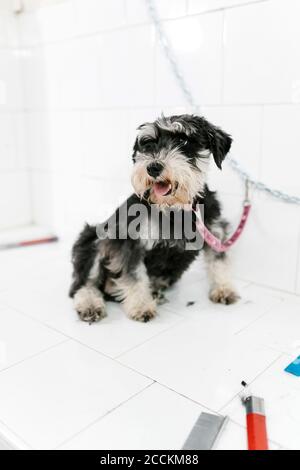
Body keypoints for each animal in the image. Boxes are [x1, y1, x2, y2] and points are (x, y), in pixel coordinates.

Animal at [68, 115, 239, 324]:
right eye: (148, 144)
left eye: (183, 140)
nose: (153, 167)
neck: (174, 209)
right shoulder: (131, 242)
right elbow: (135, 275)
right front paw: (141, 306)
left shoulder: (214, 231)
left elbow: (218, 262)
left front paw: (224, 289)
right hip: (93, 239)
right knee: (84, 284)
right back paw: (90, 304)